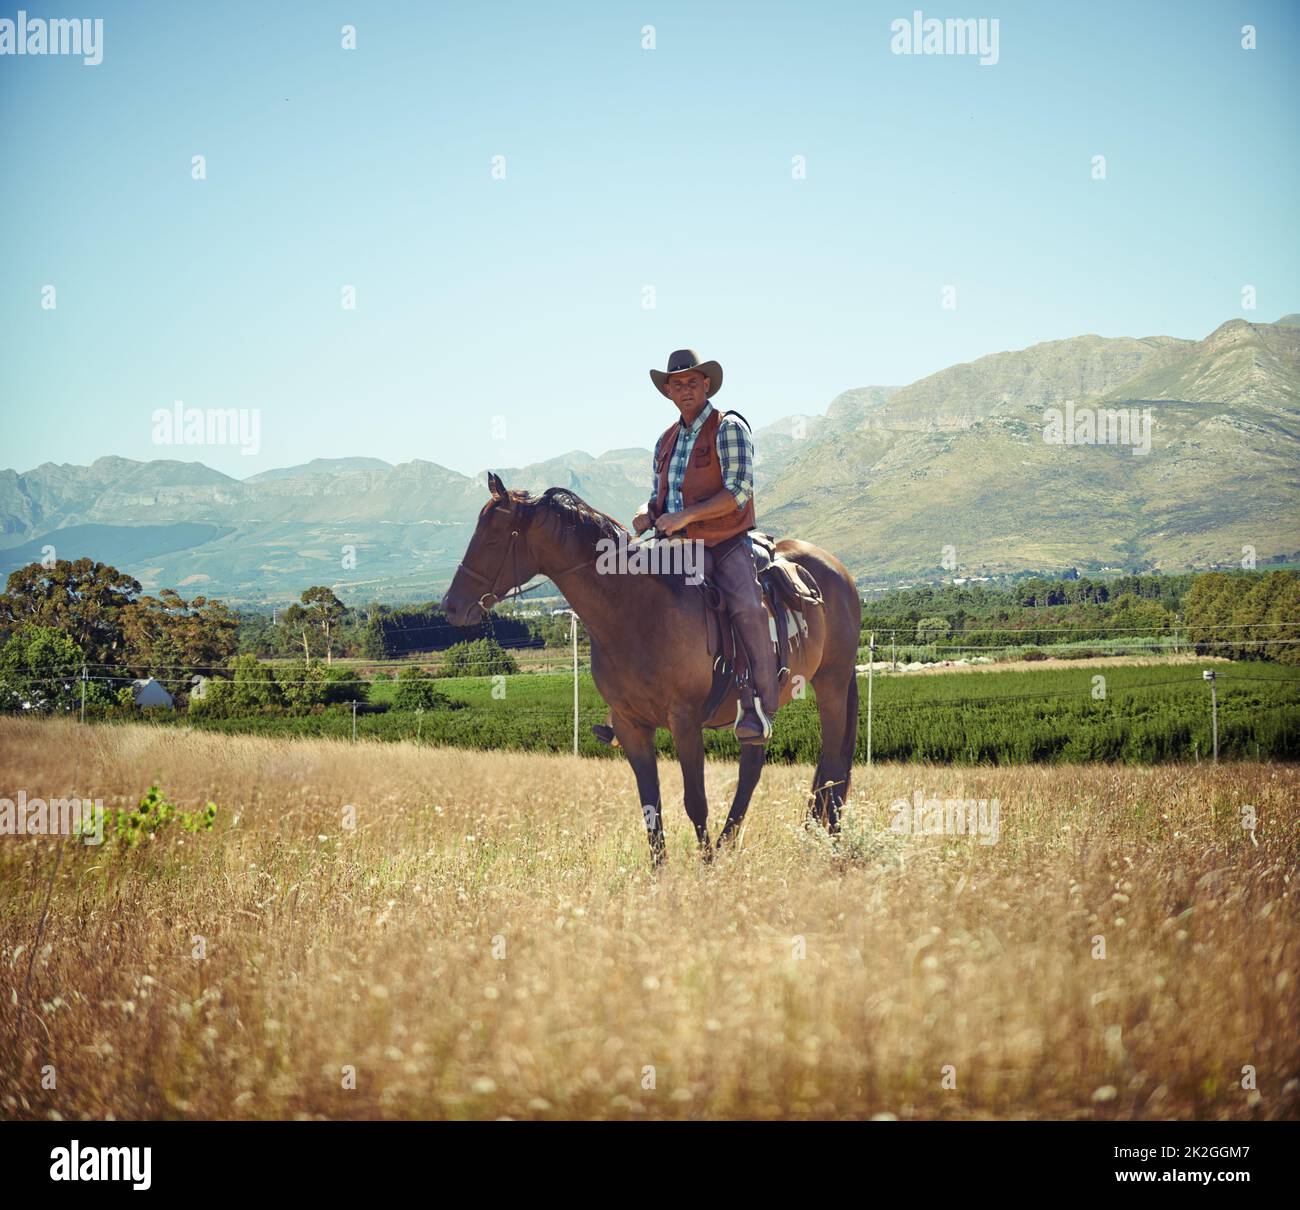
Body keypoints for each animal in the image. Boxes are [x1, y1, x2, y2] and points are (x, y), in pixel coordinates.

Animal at [444, 473, 863, 862]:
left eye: (492, 539)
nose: (451, 606)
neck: (635, 612)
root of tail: (838, 571)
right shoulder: (630, 726)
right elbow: (651, 808)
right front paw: (661, 876)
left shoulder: (685, 720)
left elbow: (695, 801)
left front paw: (704, 869)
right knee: (755, 765)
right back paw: (737, 844)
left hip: (832, 682)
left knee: (831, 765)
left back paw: (823, 840)